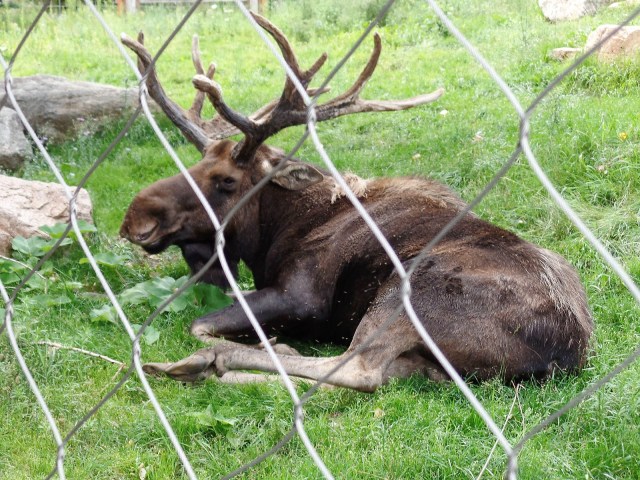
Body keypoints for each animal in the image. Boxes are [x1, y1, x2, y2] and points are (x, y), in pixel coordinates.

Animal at [119, 13, 593, 392]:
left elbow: (198, 324)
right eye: (198, 162)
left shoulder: (301, 297)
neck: (273, 232)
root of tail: (567, 354)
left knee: (357, 370)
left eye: (226, 181)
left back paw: (213, 361)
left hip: (410, 291)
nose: (135, 218)